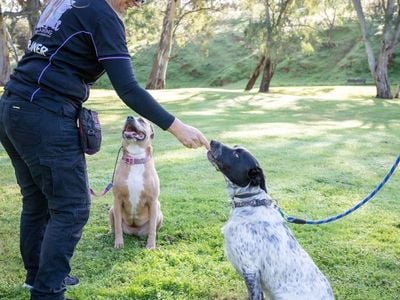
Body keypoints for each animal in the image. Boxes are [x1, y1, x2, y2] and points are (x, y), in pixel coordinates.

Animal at [109, 116, 162, 250]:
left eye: (142, 120)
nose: (129, 117)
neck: (136, 158)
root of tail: (134, 232)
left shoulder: (153, 201)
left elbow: (152, 228)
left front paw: (151, 245)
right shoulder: (117, 200)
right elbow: (118, 225)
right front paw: (119, 243)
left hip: (159, 211)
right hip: (111, 209)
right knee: (114, 226)